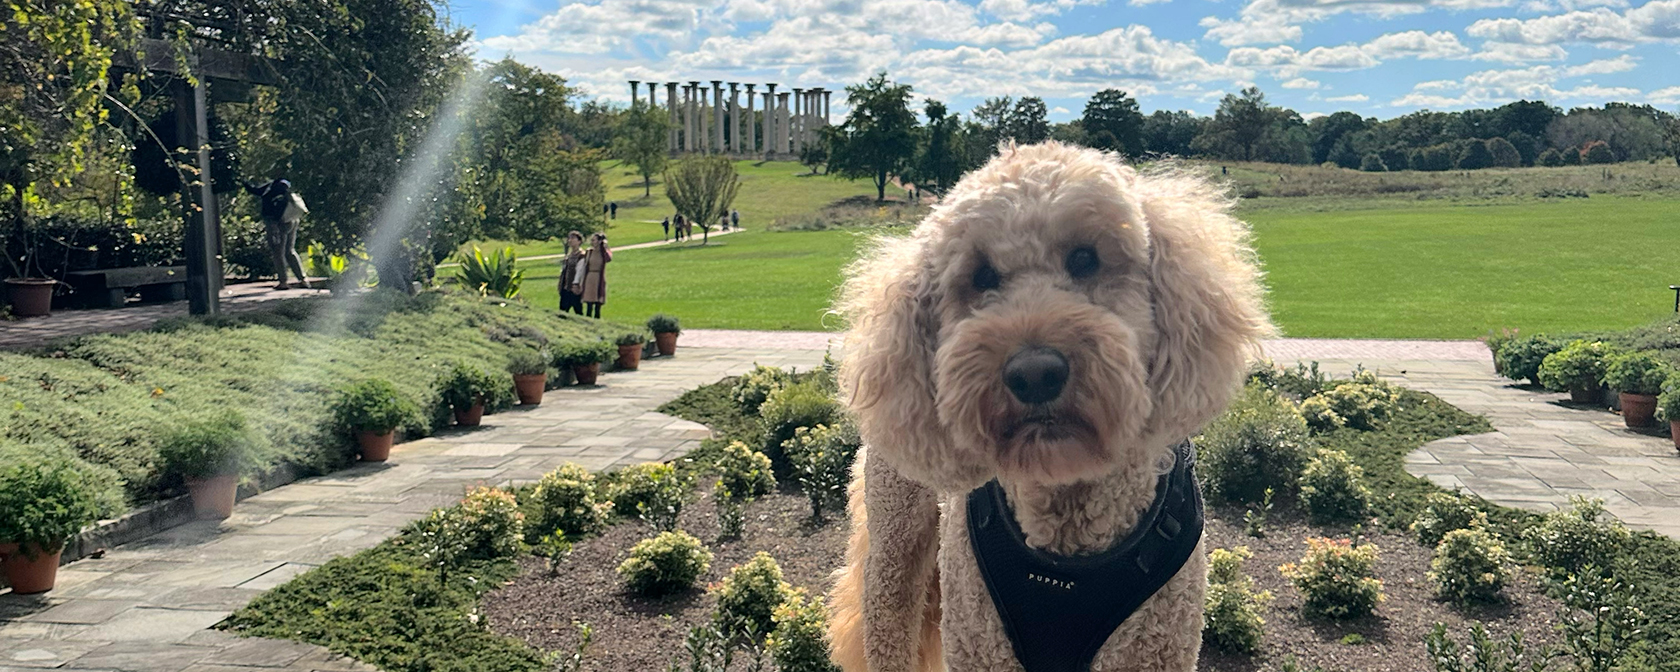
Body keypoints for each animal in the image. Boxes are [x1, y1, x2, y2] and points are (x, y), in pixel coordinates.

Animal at [826, 141, 1270, 672]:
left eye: (1084, 258)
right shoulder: (981, 644)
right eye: (982, 277)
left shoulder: (1157, 647)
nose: (1034, 373)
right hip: (896, 546)